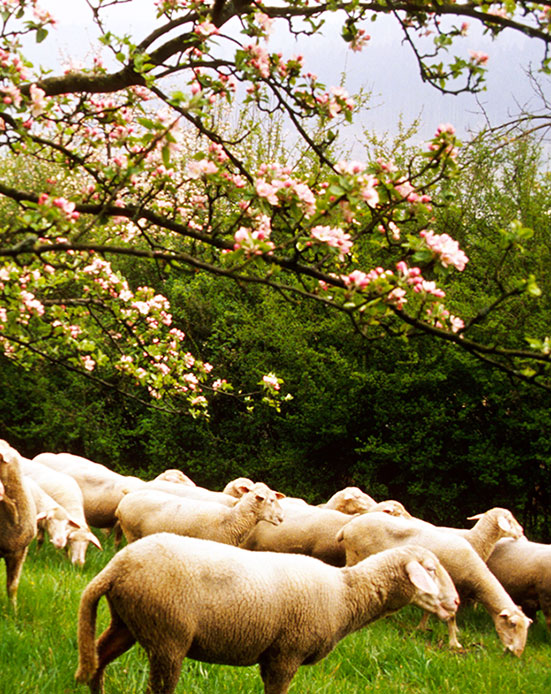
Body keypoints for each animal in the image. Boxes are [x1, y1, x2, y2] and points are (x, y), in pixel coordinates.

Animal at [74, 536, 462, 692]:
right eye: (430, 569)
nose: (456, 603)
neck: (344, 594)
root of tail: (116, 567)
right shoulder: (286, 654)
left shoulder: (272, 654)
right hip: (168, 635)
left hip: (130, 621)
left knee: (98, 659)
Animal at [334, 512, 532, 656]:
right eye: (512, 624)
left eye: (526, 627)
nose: (518, 653)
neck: (476, 574)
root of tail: (347, 527)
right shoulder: (451, 590)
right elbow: (451, 616)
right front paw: (455, 643)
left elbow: (429, 611)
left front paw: (422, 627)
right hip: (355, 556)